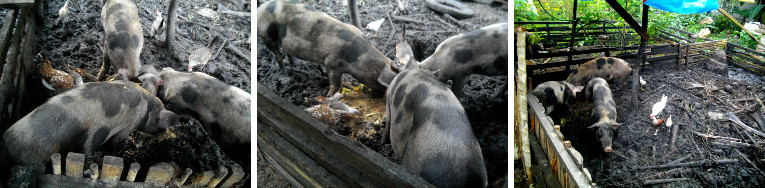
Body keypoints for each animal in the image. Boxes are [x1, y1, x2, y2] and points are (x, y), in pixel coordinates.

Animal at [2, 81, 180, 173]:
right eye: (161, 125)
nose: (165, 133)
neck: (147, 111)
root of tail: (9, 144)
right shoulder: (124, 129)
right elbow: (114, 144)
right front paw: (117, 153)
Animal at [258, 0, 396, 96]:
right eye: (381, 84)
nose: (381, 95)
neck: (358, 58)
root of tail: (261, 8)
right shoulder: (332, 62)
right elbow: (335, 82)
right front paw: (329, 95)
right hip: (265, 34)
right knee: (277, 55)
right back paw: (286, 74)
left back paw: (295, 65)